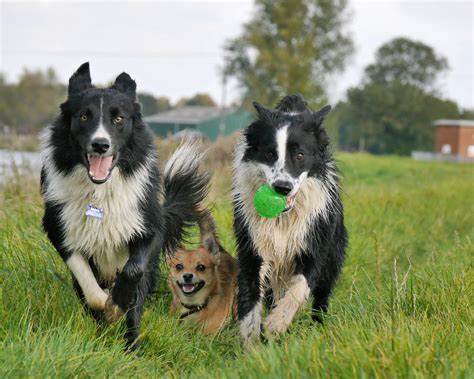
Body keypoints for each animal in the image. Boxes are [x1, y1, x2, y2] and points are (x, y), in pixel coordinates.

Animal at [41, 62, 208, 350]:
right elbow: (89, 287)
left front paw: (117, 302)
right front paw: (106, 307)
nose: (100, 144)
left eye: (118, 119)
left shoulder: (148, 229)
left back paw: (132, 347)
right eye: (84, 116)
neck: (98, 192)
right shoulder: (60, 230)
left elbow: (132, 271)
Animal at [233, 94, 348, 344]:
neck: (283, 218)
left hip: (334, 251)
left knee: (322, 293)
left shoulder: (314, 244)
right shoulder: (253, 246)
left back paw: (317, 325)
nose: (282, 188)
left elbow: (300, 287)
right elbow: (251, 297)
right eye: (269, 154)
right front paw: (252, 343)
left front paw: (276, 324)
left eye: (300, 155)